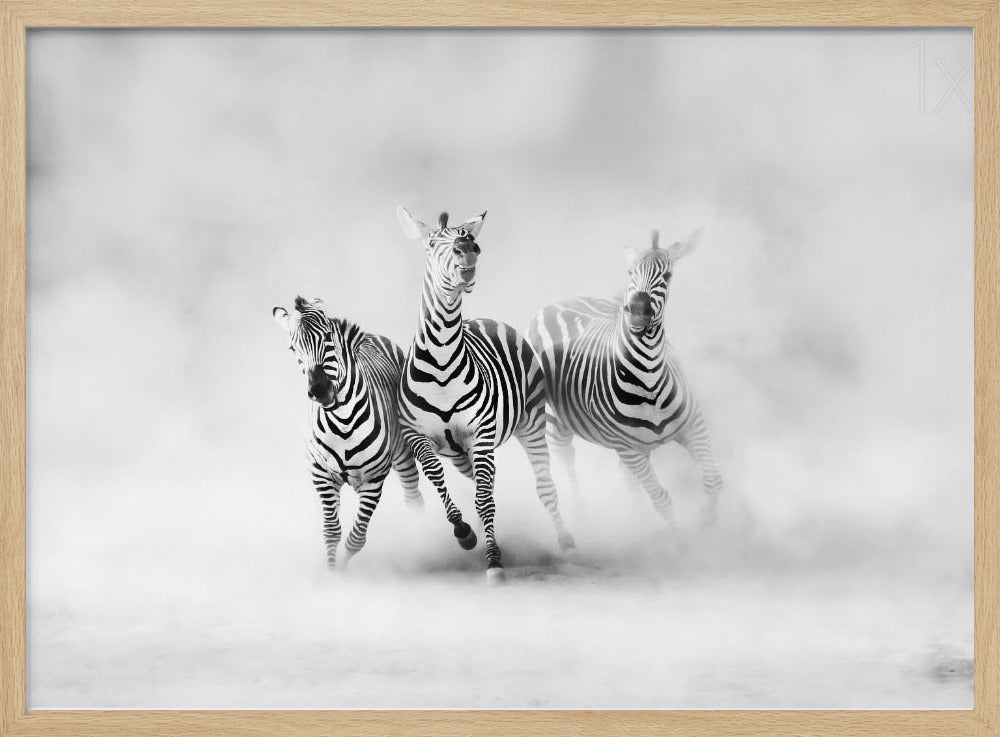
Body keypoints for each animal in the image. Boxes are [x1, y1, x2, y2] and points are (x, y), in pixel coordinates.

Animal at [273, 296, 425, 568]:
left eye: (328, 336)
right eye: (292, 348)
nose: (319, 390)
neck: (342, 421)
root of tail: (371, 336)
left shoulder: (374, 479)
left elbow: (356, 538)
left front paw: (343, 570)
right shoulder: (321, 474)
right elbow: (331, 532)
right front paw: (333, 572)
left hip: (403, 454)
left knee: (414, 498)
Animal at [396, 206, 576, 583]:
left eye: (468, 237)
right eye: (432, 243)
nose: (468, 249)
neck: (441, 361)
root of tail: (487, 319)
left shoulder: (480, 434)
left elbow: (483, 499)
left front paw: (493, 559)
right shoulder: (418, 437)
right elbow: (439, 481)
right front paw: (465, 533)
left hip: (530, 423)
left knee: (543, 485)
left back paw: (566, 543)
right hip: (461, 453)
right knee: (483, 482)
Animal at [526, 229, 723, 532]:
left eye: (667, 276)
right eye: (631, 272)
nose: (638, 310)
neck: (649, 377)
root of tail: (558, 303)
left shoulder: (693, 425)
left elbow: (713, 479)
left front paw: (708, 520)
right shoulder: (628, 449)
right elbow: (661, 499)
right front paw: (680, 539)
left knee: (627, 479)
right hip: (554, 418)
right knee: (565, 456)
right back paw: (582, 512)